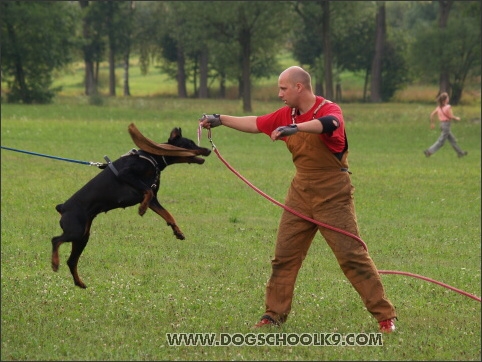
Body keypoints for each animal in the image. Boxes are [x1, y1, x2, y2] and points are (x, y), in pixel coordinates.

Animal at [52, 127, 211, 288]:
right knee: (55, 240)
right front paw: (142, 209)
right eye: (190, 143)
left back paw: (79, 282)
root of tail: (63, 207)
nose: (209, 150)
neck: (154, 157)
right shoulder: (127, 174)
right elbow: (147, 193)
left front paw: (178, 231)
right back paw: (55, 263)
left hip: (83, 236)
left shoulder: (154, 199)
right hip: (76, 231)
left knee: (71, 261)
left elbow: (167, 214)